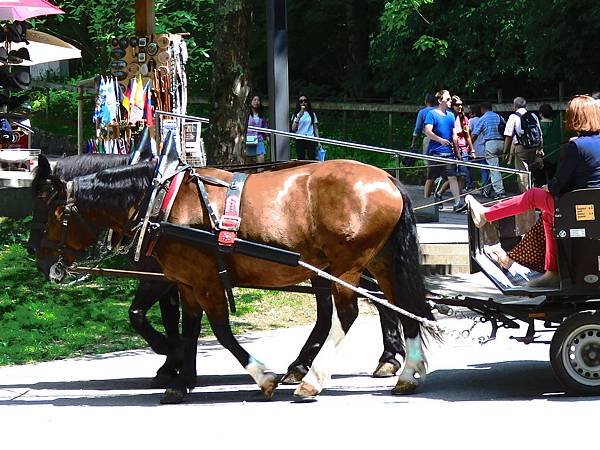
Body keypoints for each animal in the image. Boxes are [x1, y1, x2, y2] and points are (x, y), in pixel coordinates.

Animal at [35, 157, 438, 400]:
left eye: (53, 212)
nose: (40, 261)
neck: (161, 202)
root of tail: (387, 178)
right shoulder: (185, 281)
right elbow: (189, 328)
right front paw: (181, 378)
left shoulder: (200, 279)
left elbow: (220, 331)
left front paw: (261, 376)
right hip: (378, 262)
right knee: (402, 306)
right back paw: (406, 372)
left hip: (346, 266)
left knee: (348, 315)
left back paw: (312, 378)